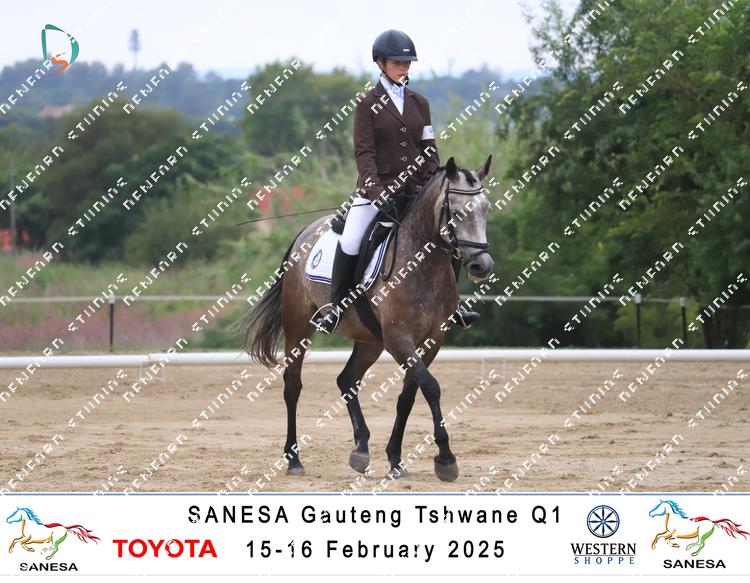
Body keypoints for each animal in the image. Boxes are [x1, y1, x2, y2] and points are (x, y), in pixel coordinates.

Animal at [241, 156, 494, 482]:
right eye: (459, 211)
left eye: (486, 209)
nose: (481, 265)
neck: (423, 262)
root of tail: (306, 232)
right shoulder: (399, 339)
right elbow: (431, 387)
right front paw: (446, 459)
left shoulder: (431, 339)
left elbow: (409, 395)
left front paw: (396, 459)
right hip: (298, 326)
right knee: (292, 385)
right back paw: (294, 458)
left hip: (370, 340)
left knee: (347, 379)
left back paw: (361, 449)